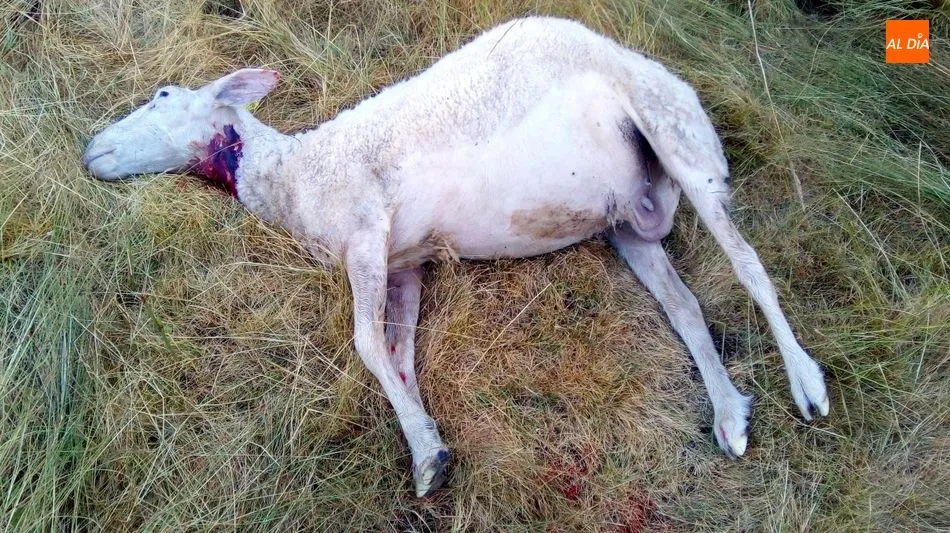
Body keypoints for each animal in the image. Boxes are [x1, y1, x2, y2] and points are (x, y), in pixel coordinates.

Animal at [83, 16, 829, 497]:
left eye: (164, 95)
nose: (91, 150)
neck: (296, 172)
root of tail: (655, 70)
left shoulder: (365, 229)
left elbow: (365, 343)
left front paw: (427, 449)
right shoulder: (403, 262)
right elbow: (400, 352)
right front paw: (425, 448)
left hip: (676, 135)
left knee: (749, 262)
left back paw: (806, 383)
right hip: (630, 221)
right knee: (685, 305)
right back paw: (729, 412)